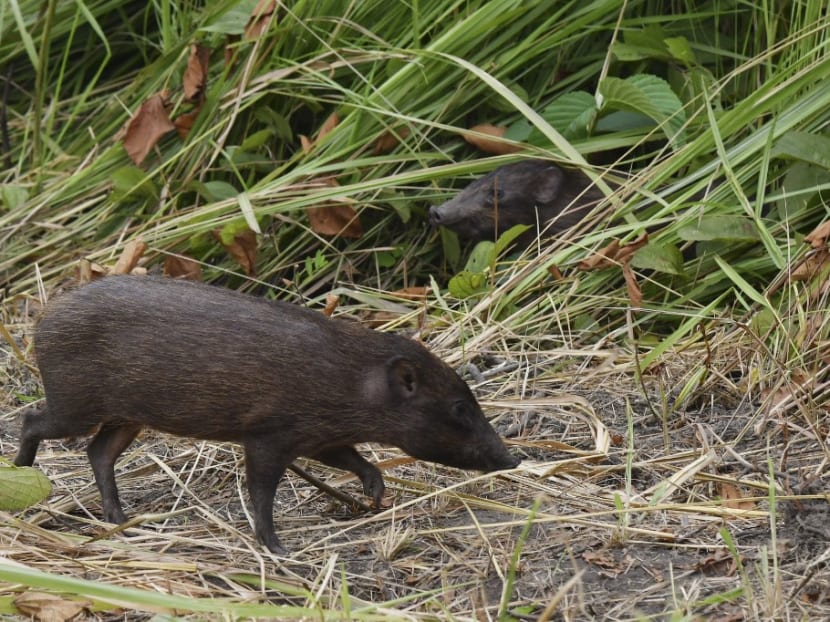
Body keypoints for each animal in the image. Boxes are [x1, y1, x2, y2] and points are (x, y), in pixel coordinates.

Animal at [13, 276, 520, 553]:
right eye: (460, 407)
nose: (513, 457)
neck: (350, 382)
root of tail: (44, 317)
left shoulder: (319, 436)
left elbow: (355, 461)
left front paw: (375, 495)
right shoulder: (267, 433)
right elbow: (261, 492)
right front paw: (277, 548)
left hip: (126, 416)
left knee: (99, 453)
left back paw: (119, 520)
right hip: (77, 404)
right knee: (31, 419)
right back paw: (20, 472)